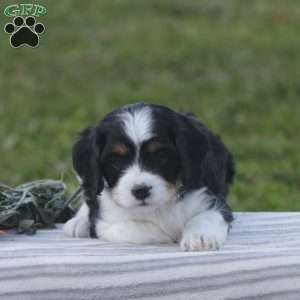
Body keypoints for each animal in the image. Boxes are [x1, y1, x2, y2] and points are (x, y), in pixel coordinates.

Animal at [65, 103, 234, 251]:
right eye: (116, 160)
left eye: (161, 155)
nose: (141, 191)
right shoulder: (105, 223)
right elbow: (135, 228)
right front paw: (167, 233)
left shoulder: (212, 198)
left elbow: (207, 216)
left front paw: (200, 237)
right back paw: (78, 222)